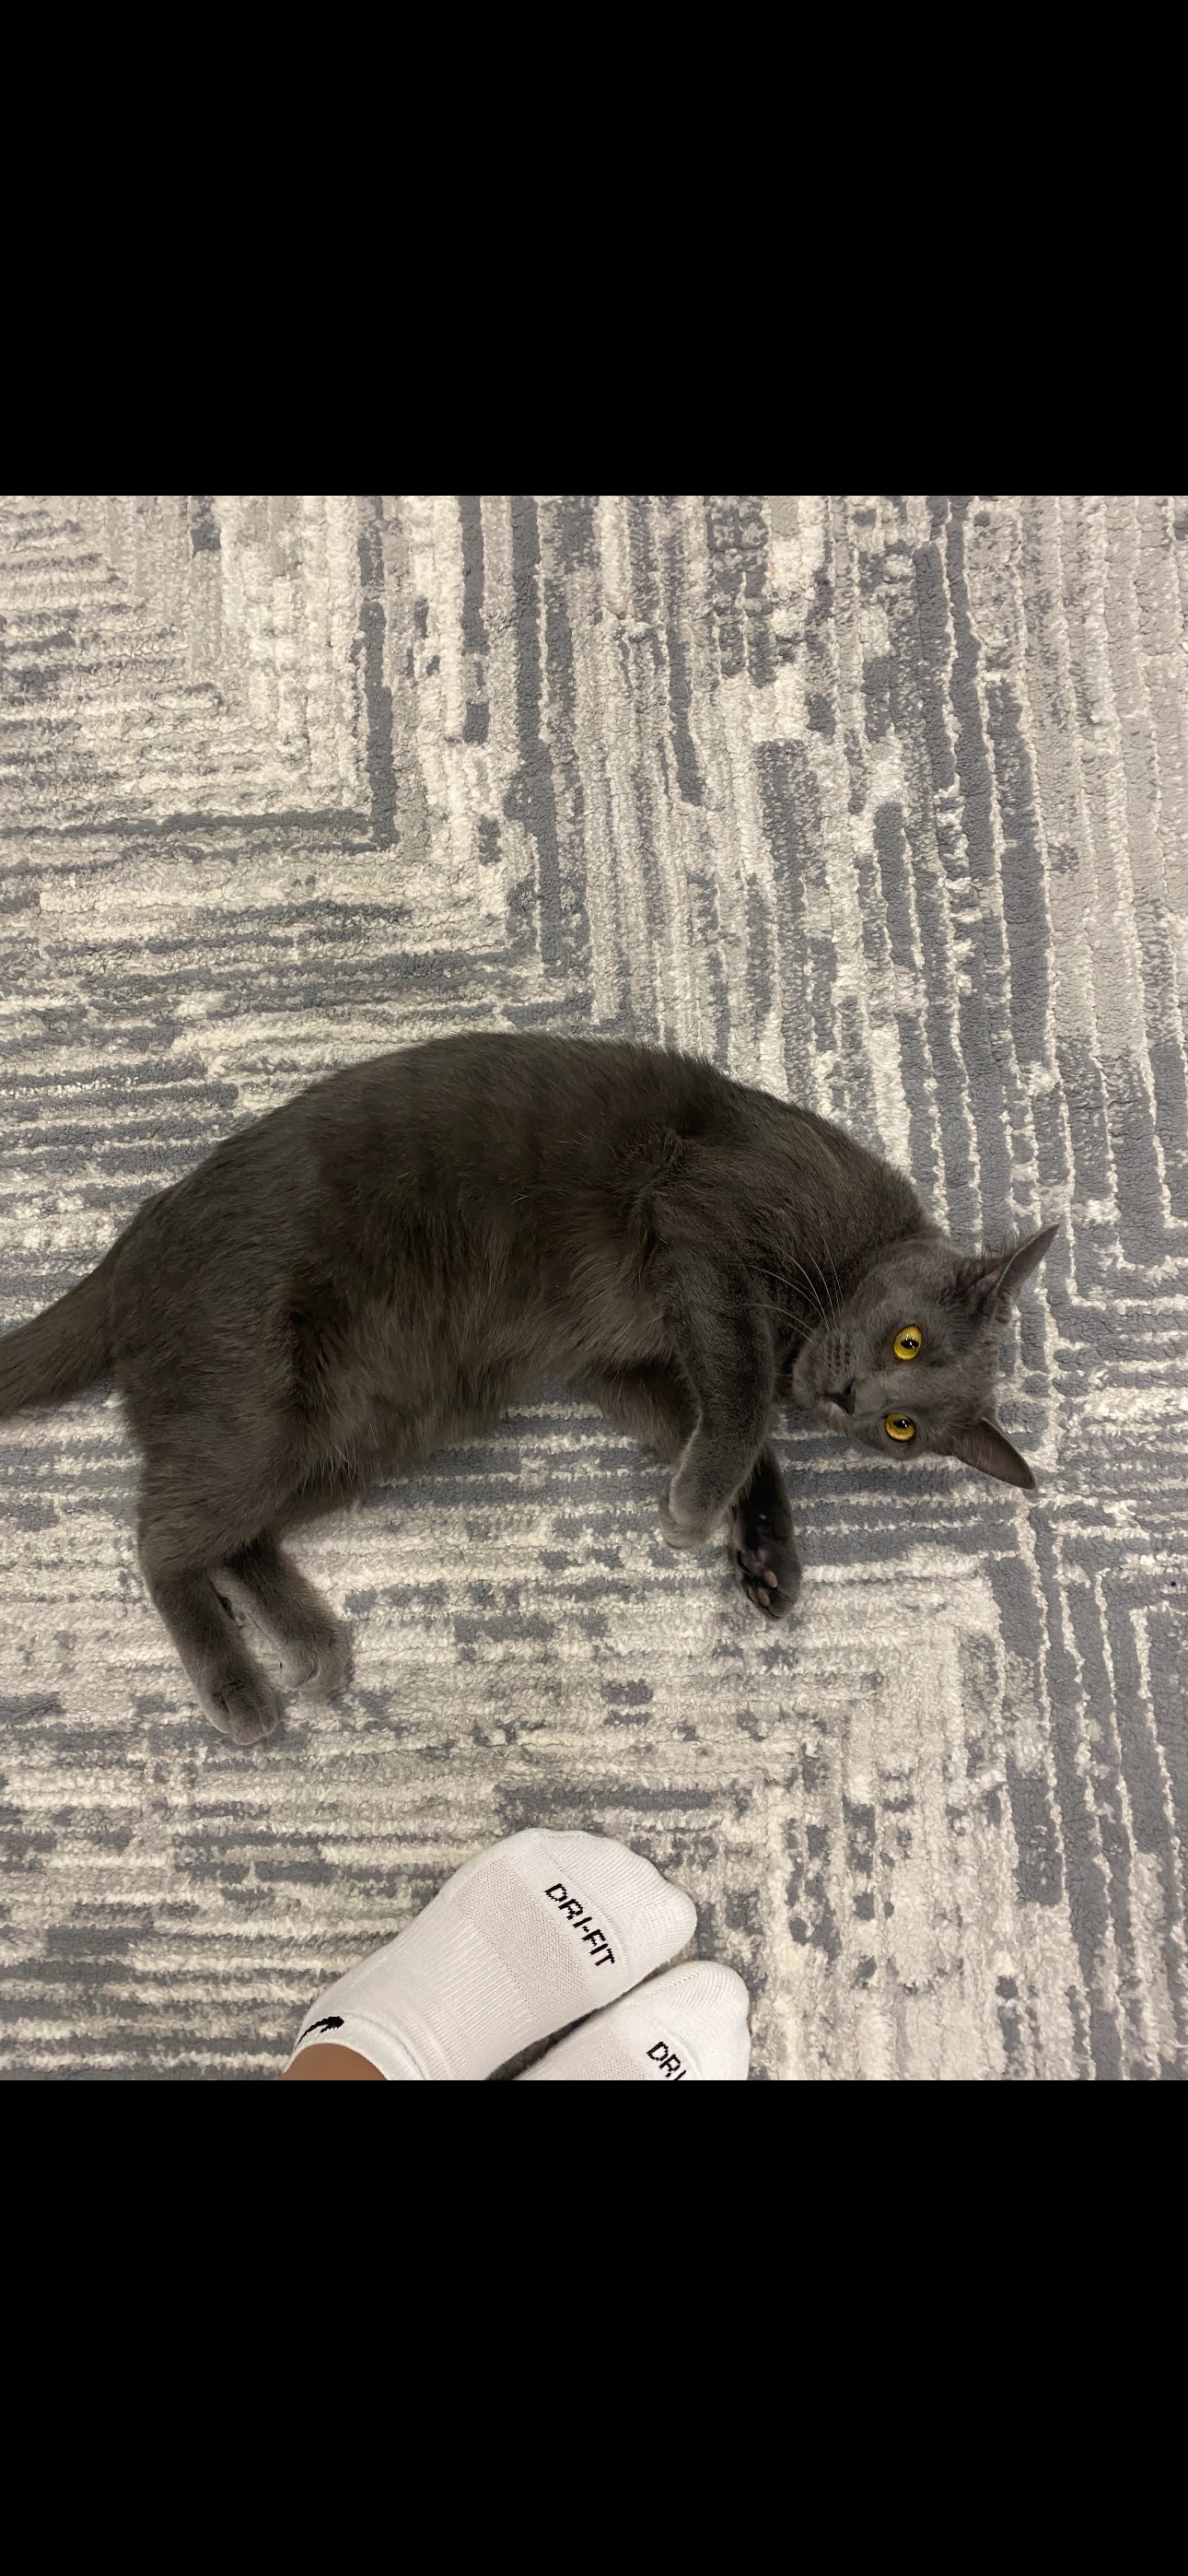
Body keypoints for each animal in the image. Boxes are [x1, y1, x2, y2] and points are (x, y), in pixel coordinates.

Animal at [0, 1031, 1057, 1745]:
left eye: (905, 1430)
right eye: (909, 1343)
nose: (855, 1405)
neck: (837, 1267)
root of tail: (135, 1237)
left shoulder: (621, 1362)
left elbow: (734, 1426)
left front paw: (764, 1557)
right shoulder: (703, 1226)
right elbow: (747, 1395)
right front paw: (701, 1511)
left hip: (358, 1432)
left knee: (235, 1535)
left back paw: (313, 1643)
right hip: (257, 1400)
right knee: (163, 1539)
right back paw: (240, 1687)